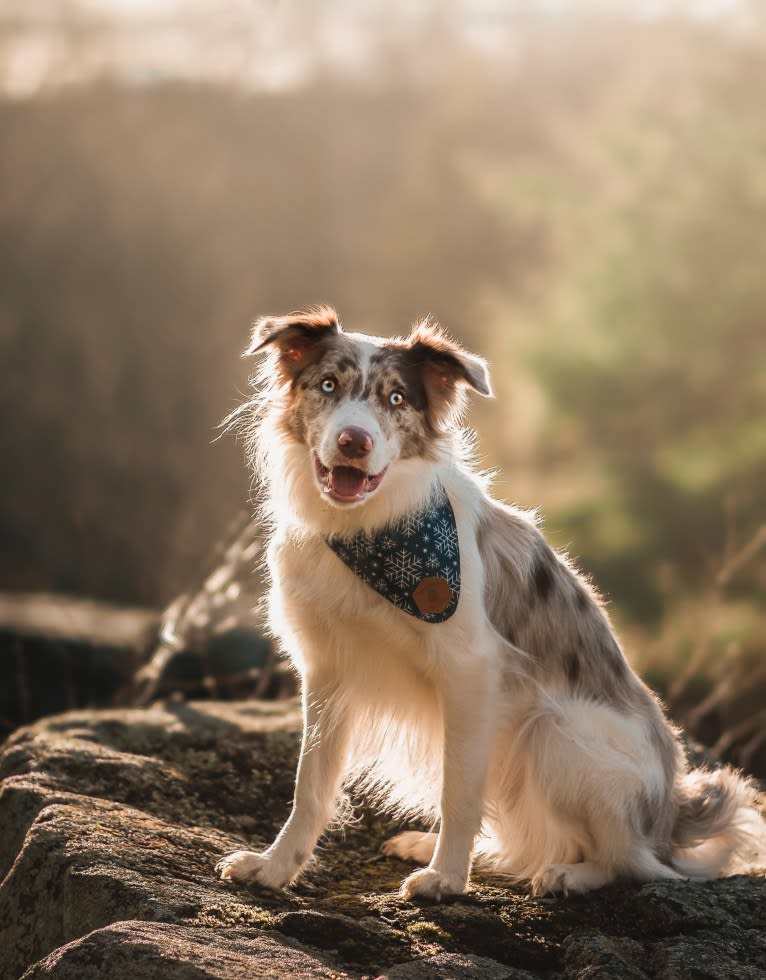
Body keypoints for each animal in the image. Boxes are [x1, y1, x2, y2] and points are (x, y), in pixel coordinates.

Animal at [216, 310, 766, 900]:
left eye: (395, 398)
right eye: (326, 385)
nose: (353, 441)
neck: (368, 530)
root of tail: (669, 819)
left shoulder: (470, 670)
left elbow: (458, 787)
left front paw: (447, 878)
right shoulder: (327, 671)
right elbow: (310, 784)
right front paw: (275, 867)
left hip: (554, 731)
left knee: (631, 861)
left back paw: (568, 873)